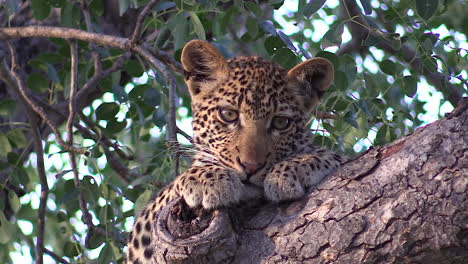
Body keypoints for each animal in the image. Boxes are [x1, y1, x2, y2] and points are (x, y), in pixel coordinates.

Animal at [126, 38, 346, 262]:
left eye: (281, 122)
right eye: (228, 114)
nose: (251, 166)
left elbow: (336, 157)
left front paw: (293, 168)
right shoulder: (140, 240)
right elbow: (169, 190)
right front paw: (206, 179)